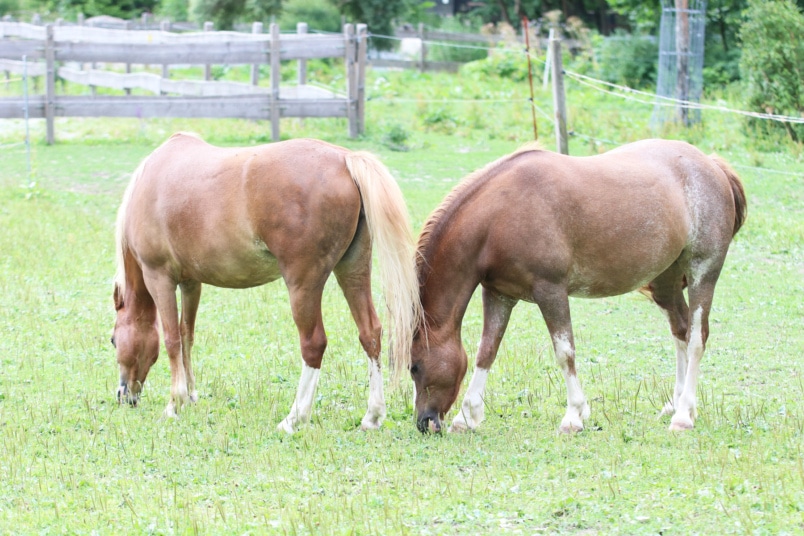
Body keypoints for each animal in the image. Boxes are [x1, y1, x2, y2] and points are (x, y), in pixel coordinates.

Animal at [111, 132, 420, 434]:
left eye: (113, 340)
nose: (124, 395)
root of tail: (345, 160)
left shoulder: (159, 277)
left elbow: (172, 339)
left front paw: (175, 404)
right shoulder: (191, 283)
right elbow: (187, 335)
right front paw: (191, 396)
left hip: (303, 284)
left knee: (313, 344)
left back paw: (294, 418)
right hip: (353, 271)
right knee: (370, 333)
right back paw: (373, 415)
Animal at [414, 139, 748, 436]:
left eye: (414, 366)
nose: (424, 423)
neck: (499, 214)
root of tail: (712, 164)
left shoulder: (550, 291)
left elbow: (565, 353)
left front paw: (574, 416)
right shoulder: (499, 294)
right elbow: (487, 351)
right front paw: (466, 417)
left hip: (702, 273)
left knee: (696, 339)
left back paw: (683, 416)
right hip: (665, 283)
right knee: (680, 332)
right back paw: (675, 404)